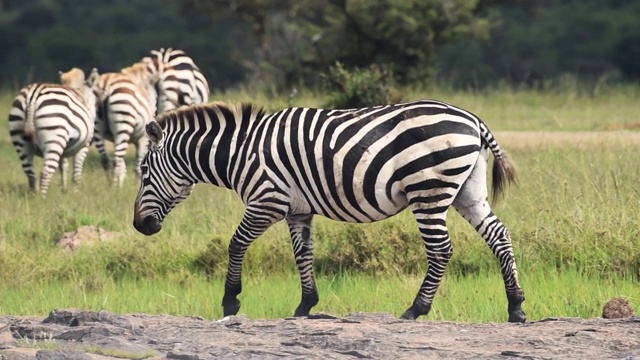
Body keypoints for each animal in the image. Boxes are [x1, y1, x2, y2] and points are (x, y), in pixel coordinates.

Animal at [132, 100, 528, 322]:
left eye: (143, 171)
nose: (140, 226)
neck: (240, 153)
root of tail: (473, 120)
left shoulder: (266, 200)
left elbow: (236, 244)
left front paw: (230, 301)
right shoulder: (298, 210)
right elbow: (303, 254)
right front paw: (305, 305)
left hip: (428, 189)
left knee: (441, 250)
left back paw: (416, 310)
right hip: (467, 191)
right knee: (498, 236)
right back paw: (516, 308)